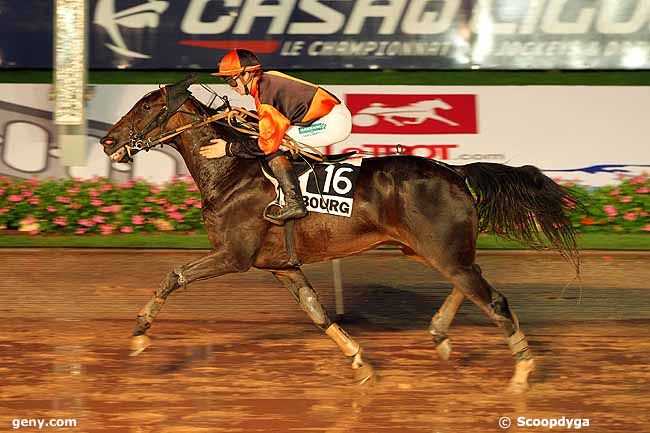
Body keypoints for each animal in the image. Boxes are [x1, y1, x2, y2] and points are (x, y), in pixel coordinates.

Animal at [98, 77, 576, 392]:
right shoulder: (283, 266)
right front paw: (360, 363)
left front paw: (139, 334)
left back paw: (522, 372)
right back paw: (441, 335)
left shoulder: (233, 255)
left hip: (439, 248)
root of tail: (453, 172)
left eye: (146, 107)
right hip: (428, 249)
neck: (231, 172)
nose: (107, 141)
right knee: (468, 281)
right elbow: (317, 312)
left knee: (491, 298)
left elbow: (173, 276)